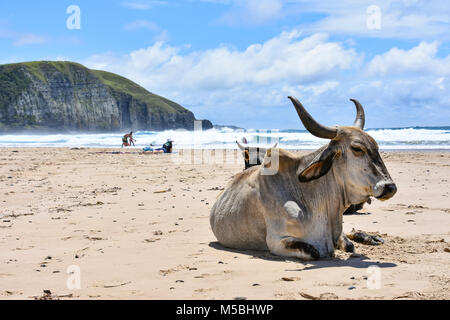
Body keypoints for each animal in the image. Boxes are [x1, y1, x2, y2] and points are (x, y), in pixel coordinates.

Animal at [211, 97, 398, 260]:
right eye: (357, 148)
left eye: (376, 147)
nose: (390, 187)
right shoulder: (276, 242)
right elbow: (314, 252)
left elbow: (349, 244)